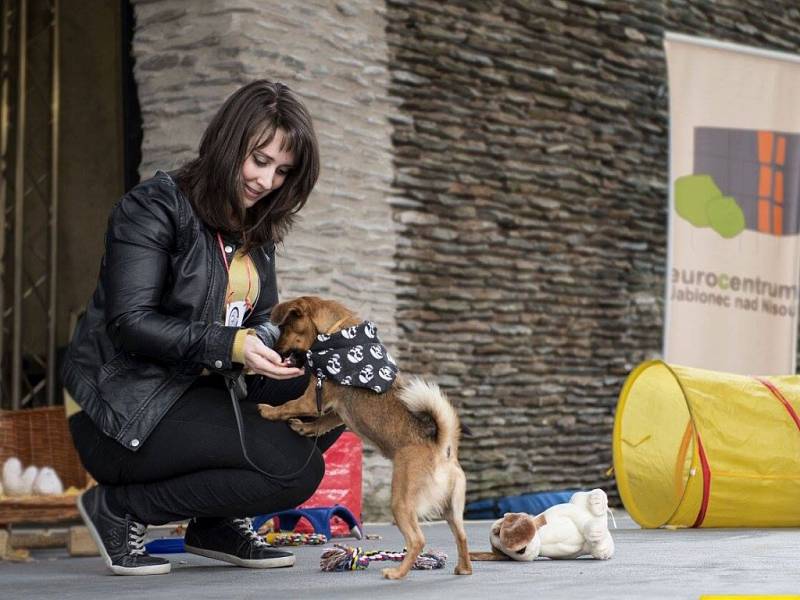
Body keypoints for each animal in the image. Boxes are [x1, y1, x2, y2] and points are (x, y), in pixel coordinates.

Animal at [256, 298, 472, 580]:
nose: (275, 350)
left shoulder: (312, 398)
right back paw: (463, 568)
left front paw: (268, 410)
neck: (336, 337)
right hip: (452, 510)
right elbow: (320, 423)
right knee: (462, 536)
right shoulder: (336, 413)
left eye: (285, 329)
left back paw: (397, 572)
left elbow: (288, 406)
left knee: (417, 540)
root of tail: (441, 447)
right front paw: (304, 429)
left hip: (402, 502)